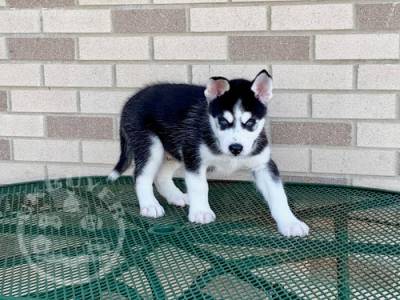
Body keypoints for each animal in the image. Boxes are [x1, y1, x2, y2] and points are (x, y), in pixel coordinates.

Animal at [108, 69, 310, 237]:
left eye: (250, 122)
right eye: (223, 121)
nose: (236, 148)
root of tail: (130, 100)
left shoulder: (263, 165)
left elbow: (278, 194)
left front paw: (290, 222)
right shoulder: (194, 159)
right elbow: (200, 186)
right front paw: (201, 212)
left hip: (175, 149)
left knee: (161, 176)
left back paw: (177, 196)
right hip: (152, 146)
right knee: (141, 176)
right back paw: (150, 205)